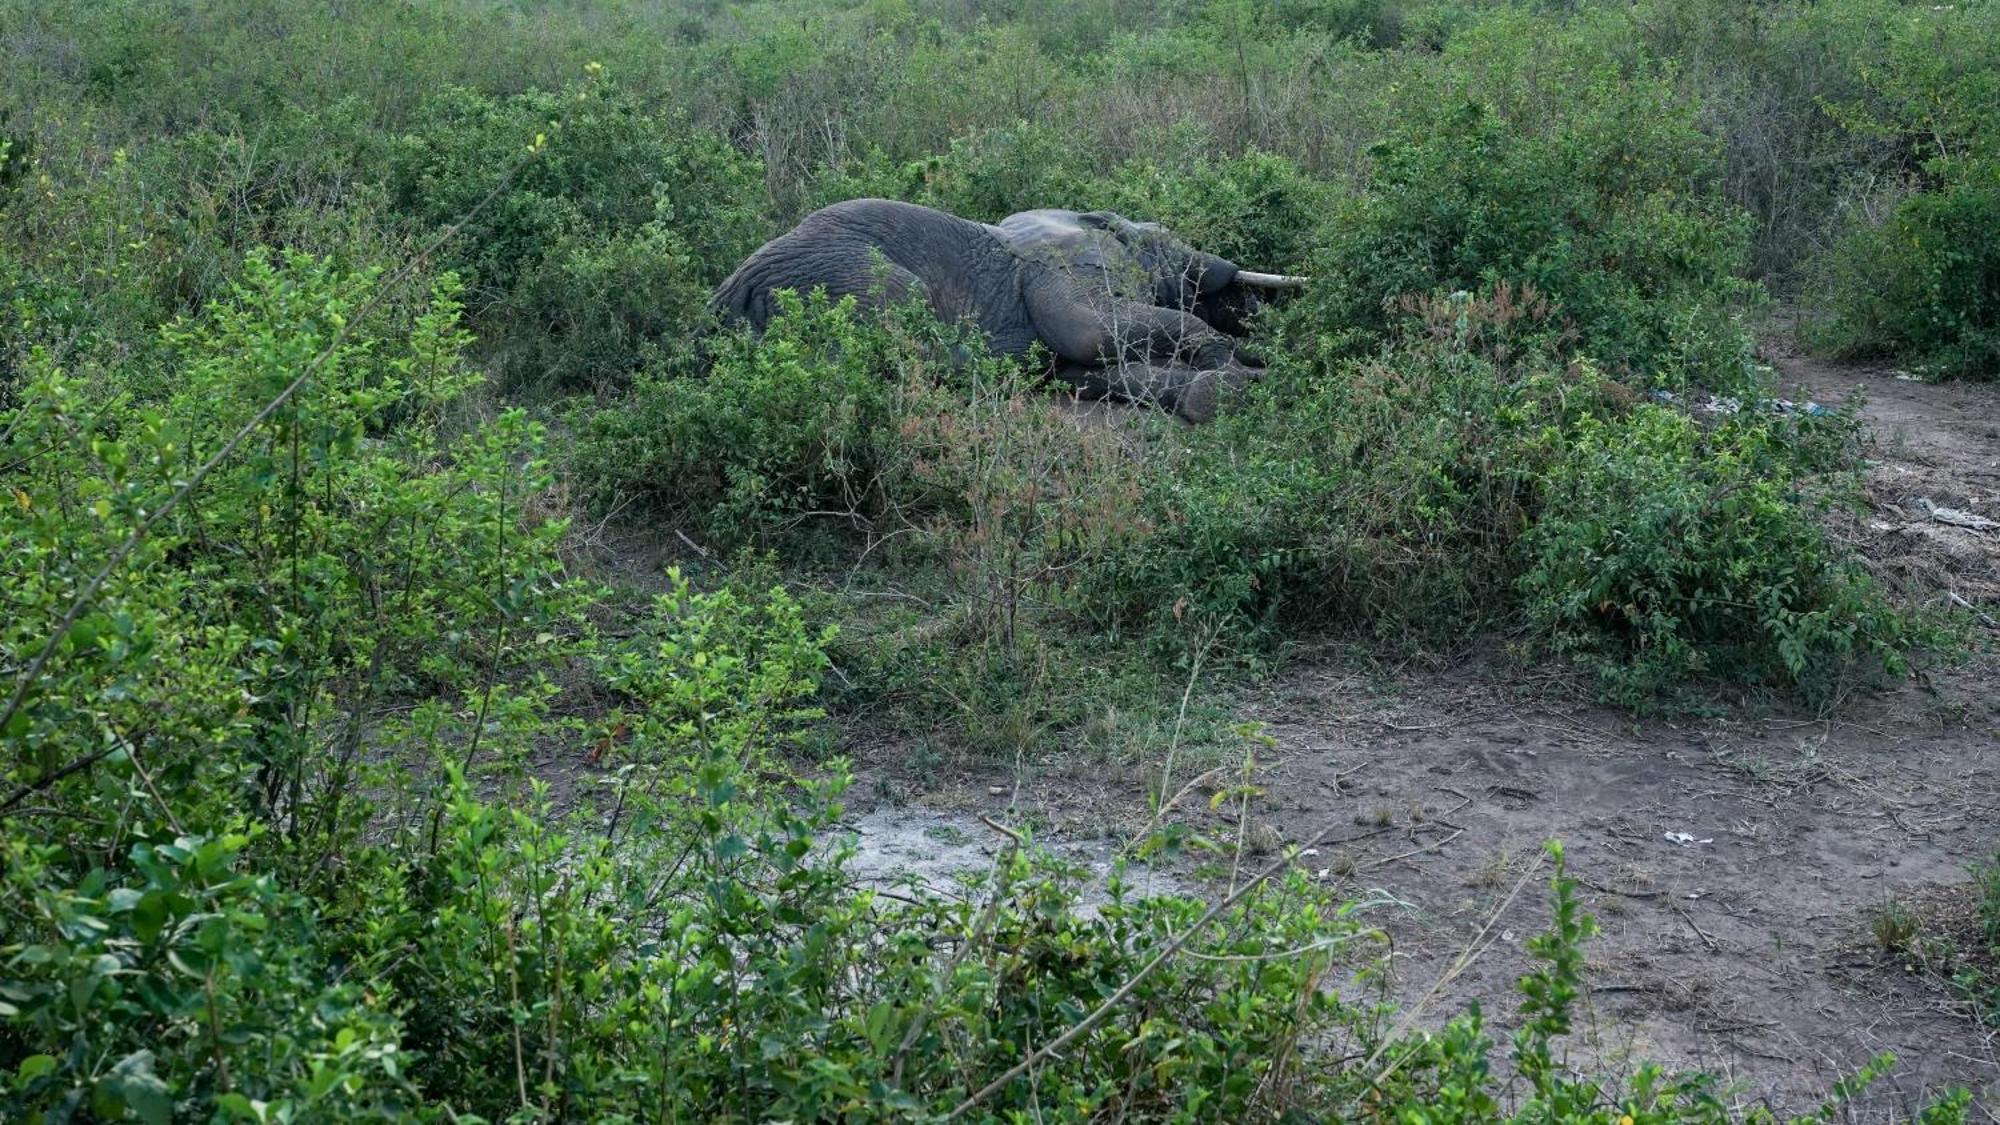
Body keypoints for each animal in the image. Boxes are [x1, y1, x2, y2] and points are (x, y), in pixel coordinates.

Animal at [712, 197, 1304, 420]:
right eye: (1160, 240)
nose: (1224, 270)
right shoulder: (1060, 270)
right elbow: (1088, 330)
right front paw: (1230, 373)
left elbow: (1091, 369)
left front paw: (1238, 382)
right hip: (850, 275)